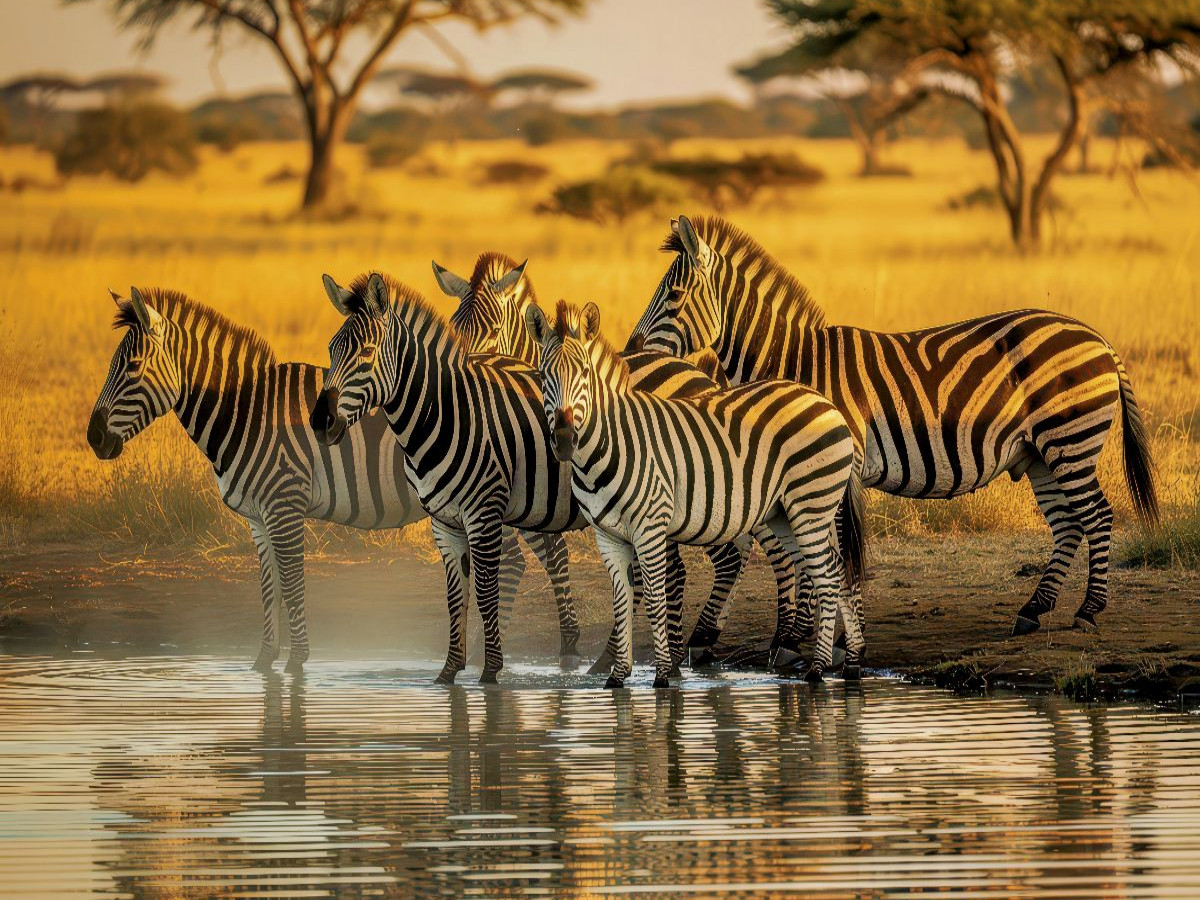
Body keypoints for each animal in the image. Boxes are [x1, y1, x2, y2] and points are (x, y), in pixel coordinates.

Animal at [86, 286, 580, 673]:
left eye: (131, 367)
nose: (93, 437)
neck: (246, 411)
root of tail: (527, 364)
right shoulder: (258, 519)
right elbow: (267, 586)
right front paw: (263, 663)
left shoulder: (284, 504)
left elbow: (292, 583)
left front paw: (296, 663)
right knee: (526, 560)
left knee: (538, 559)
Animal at [310, 273, 736, 685]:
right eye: (331, 350)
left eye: (366, 353)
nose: (319, 421)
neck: (446, 413)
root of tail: (697, 371)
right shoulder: (444, 522)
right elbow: (454, 595)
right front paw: (448, 673)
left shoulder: (482, 511)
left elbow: (486, 590)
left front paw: (490, 671)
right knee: (671, 574)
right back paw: (636, 663)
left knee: (711, 561)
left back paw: (682, 655)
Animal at [431, 252, 811, 667]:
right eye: (453, 327)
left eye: (494, 328)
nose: (460, 390)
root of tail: (704, 378)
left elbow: (541, 558)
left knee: (743, 556)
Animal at [526, 300, 865, 686]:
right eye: (542, 376)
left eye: (584, 373)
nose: (565, 439)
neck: (611, 444)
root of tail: (826, 402)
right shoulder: (608, 536)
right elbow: (621, 601)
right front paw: (618, 676)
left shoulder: (650, 526)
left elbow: (654, 596)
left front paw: (661, 675)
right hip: (788, 515)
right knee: (837, 570)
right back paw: (851, 663)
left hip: (810, 508)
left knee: (829, 576)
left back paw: (818, 668)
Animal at [629, 214, 1159, 635]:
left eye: (673, 294)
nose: (632, 350)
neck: (797, 364)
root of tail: (1097, 337)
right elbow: (811, 555)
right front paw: (811, 633)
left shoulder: (827, 471)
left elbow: (823, 555)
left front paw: (807, 636)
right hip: (1039, 455)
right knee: (1068, 524)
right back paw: (1033, 609)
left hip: (1069, 440)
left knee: (1098, 516)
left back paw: (1089, 611)